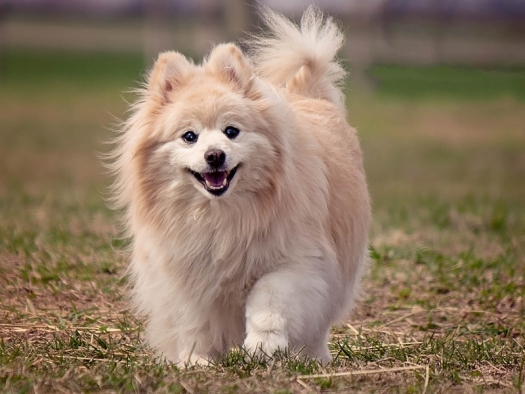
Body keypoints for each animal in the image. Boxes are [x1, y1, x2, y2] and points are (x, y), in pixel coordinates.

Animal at [107, 6, 368, 364]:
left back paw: (313, 358)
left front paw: (263, 344)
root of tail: (309, 94)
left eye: (231, 131)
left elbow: (268, 298)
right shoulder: (186, 274)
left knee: (317, 324)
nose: (215, 155)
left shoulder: (296, 261)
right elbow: (194, 321)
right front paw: (195, 360)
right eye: (189, 136)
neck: (221, 215)